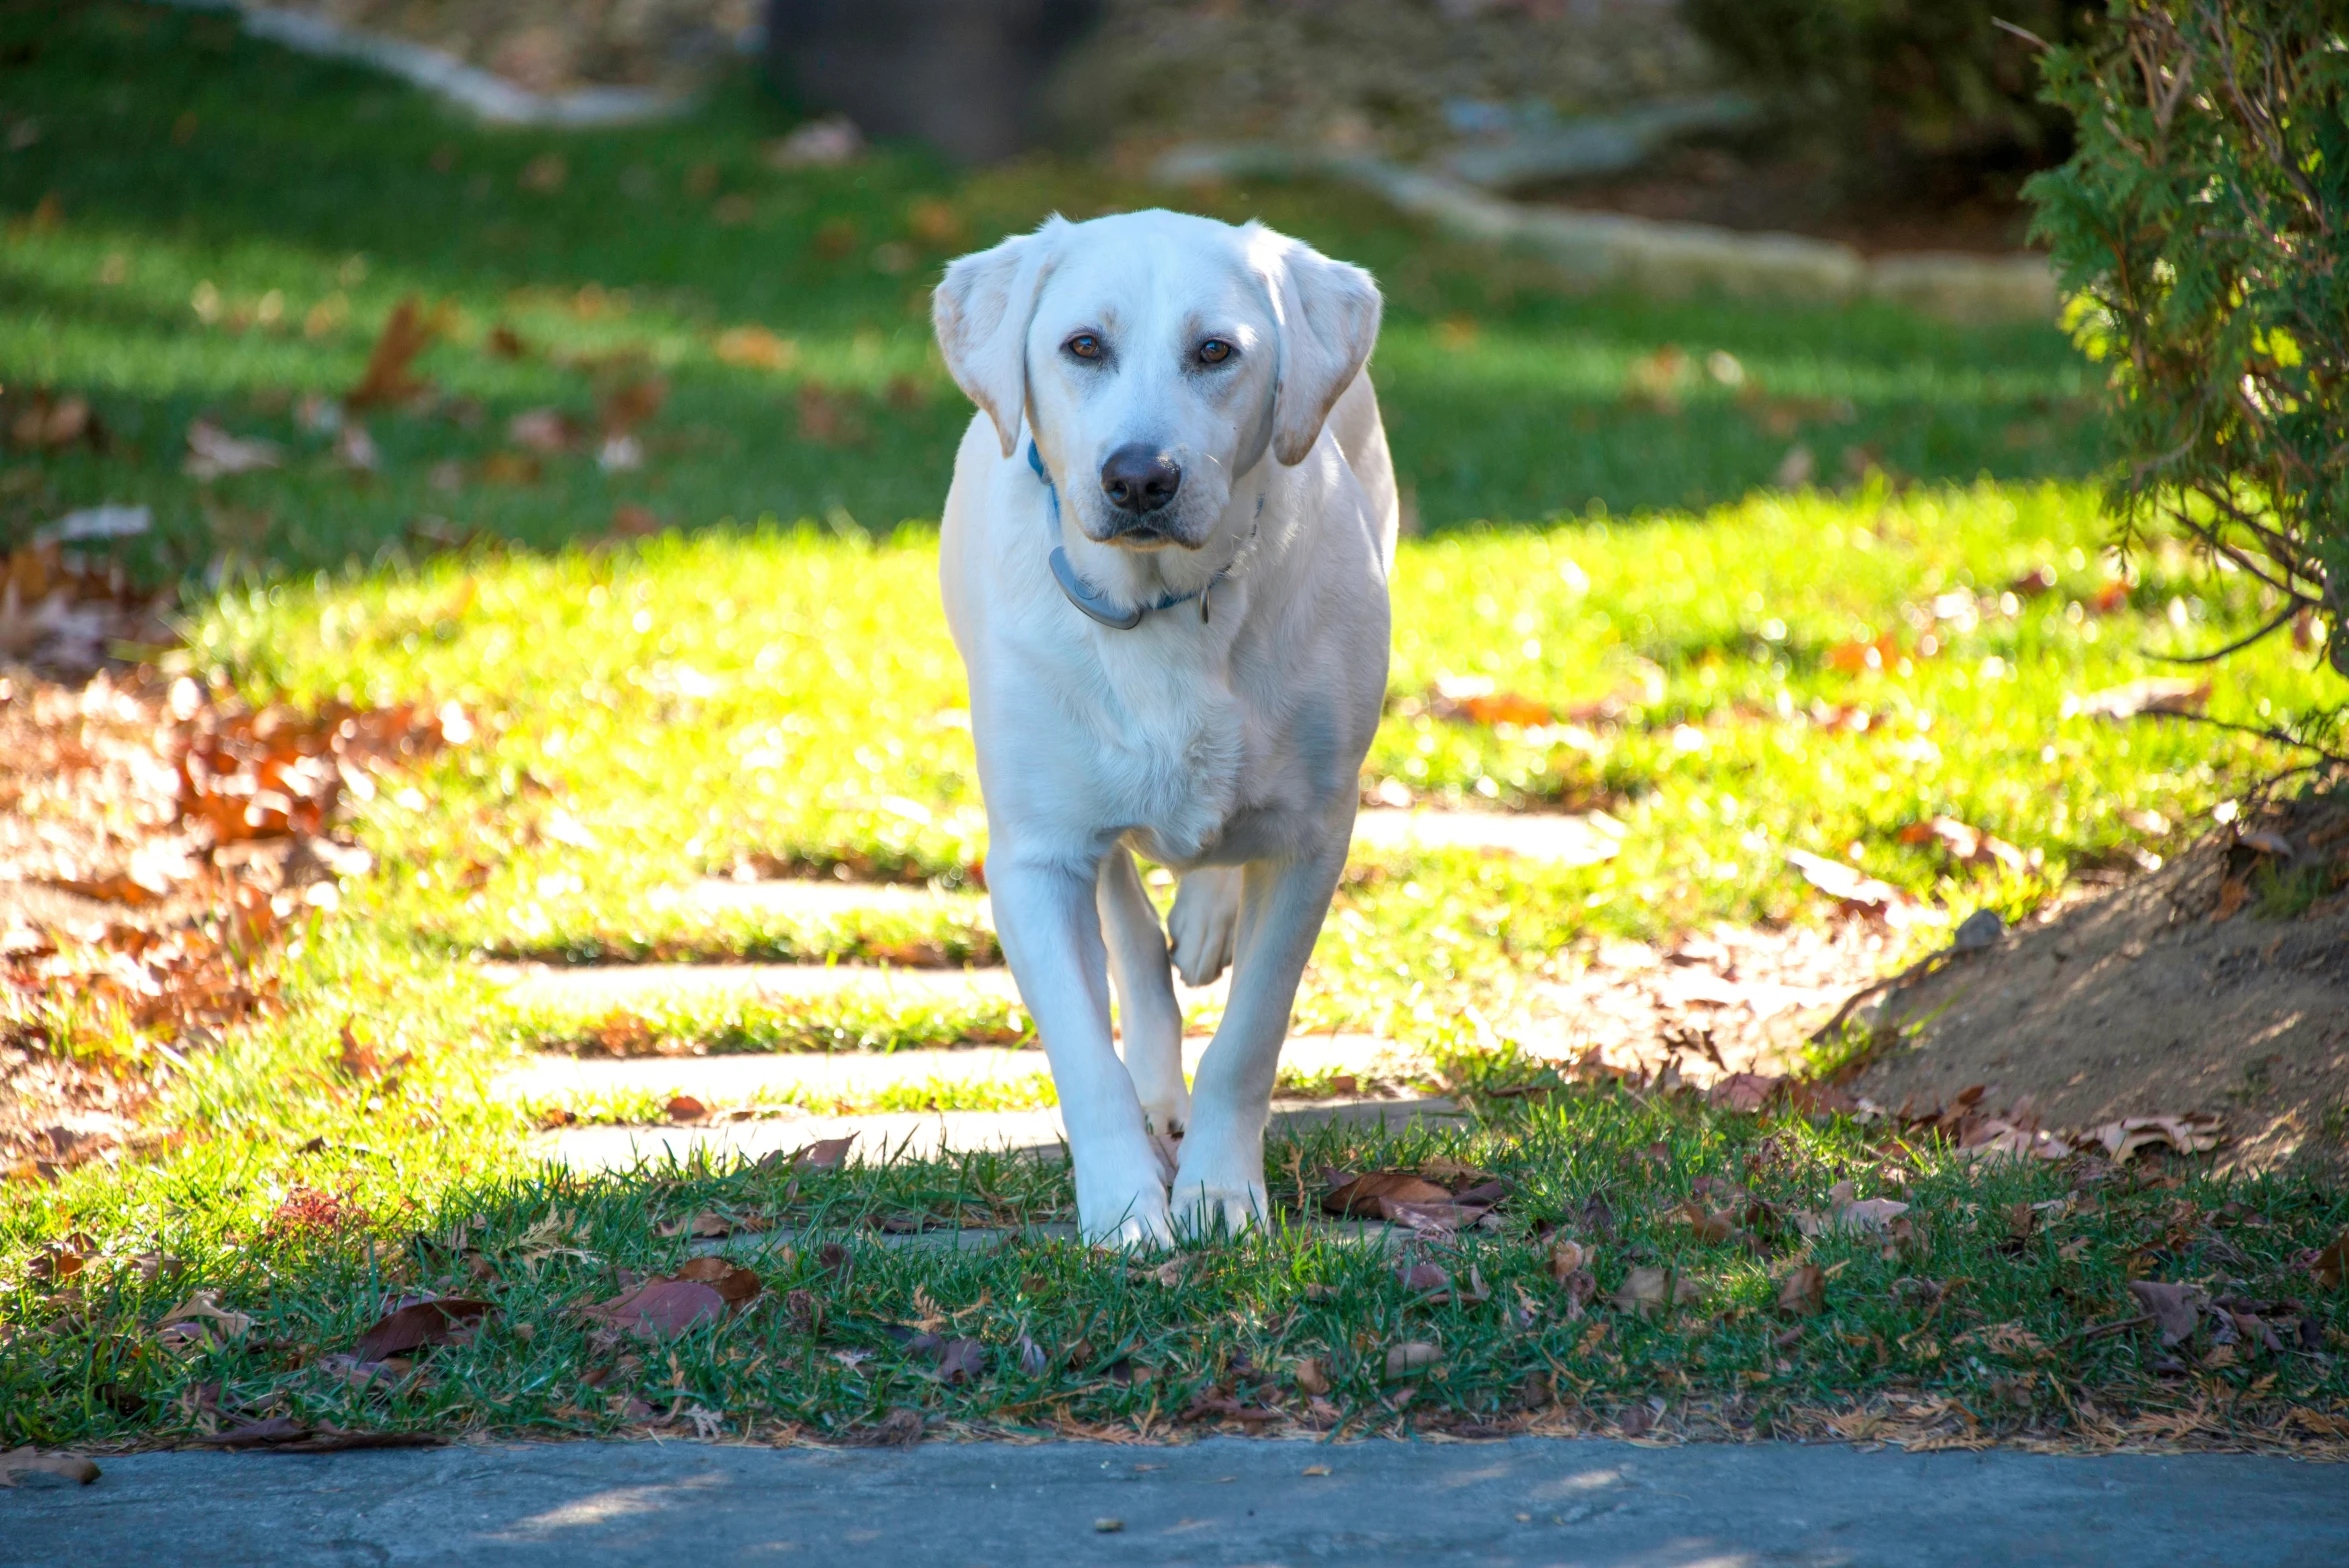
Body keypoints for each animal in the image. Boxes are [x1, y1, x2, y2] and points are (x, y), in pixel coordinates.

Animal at [930, 207, 1390, 1239]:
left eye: (1215, 350)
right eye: (1082, 347)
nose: (1140, 478)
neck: (1163, 610)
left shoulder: (1315, 836)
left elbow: (1249, 1039)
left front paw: (1219, 1193)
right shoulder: (1033, 856)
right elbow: (1084, 1056)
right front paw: (1126, 1213)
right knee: (1129, 927)